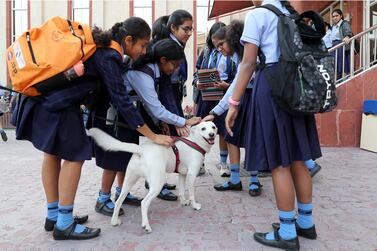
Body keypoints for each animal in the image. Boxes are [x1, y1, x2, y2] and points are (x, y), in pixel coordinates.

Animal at [86, 120, 216, 232]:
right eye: (203, 128)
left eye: (213, 127)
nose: (212, 134)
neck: (195, 141)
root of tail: (140, 149)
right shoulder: (192, 175)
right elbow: (192, 194)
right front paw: (195, 206)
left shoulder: (182, 174)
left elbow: (182, 191)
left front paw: (183, 202)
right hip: (157, 184)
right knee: (144, 203)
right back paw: (146, 226)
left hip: (128, 181)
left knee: (118, 201)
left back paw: (114, 221)